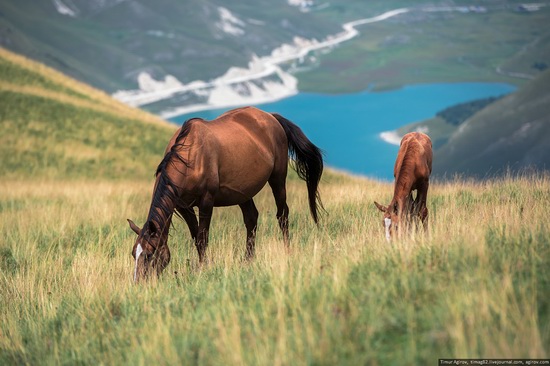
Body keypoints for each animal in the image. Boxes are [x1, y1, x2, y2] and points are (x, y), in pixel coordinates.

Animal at [127, 107, 326, 282]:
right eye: (134, 253)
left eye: (149, 254)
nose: (139, 283)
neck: (190, 157)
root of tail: (271, 117)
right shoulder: (184, 206)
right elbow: (195, 235)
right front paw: (205, 264)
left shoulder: (206, 202)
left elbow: (202, 238)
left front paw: (202, 268)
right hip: (243, 192)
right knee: (252, 219)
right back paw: (248, 260)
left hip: (278, 178)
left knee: (282, 215)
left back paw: (286, 251)